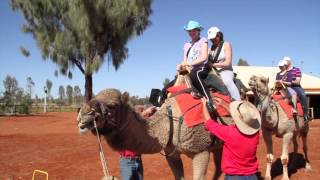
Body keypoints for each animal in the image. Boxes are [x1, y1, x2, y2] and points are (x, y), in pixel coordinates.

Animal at [77, 82, 232, 180]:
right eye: (93, 97)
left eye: (112, 106)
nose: (81, 117)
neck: (170, 123)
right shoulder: (171, 154)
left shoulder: (201, 150)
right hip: (218, 146)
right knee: (219, 168)